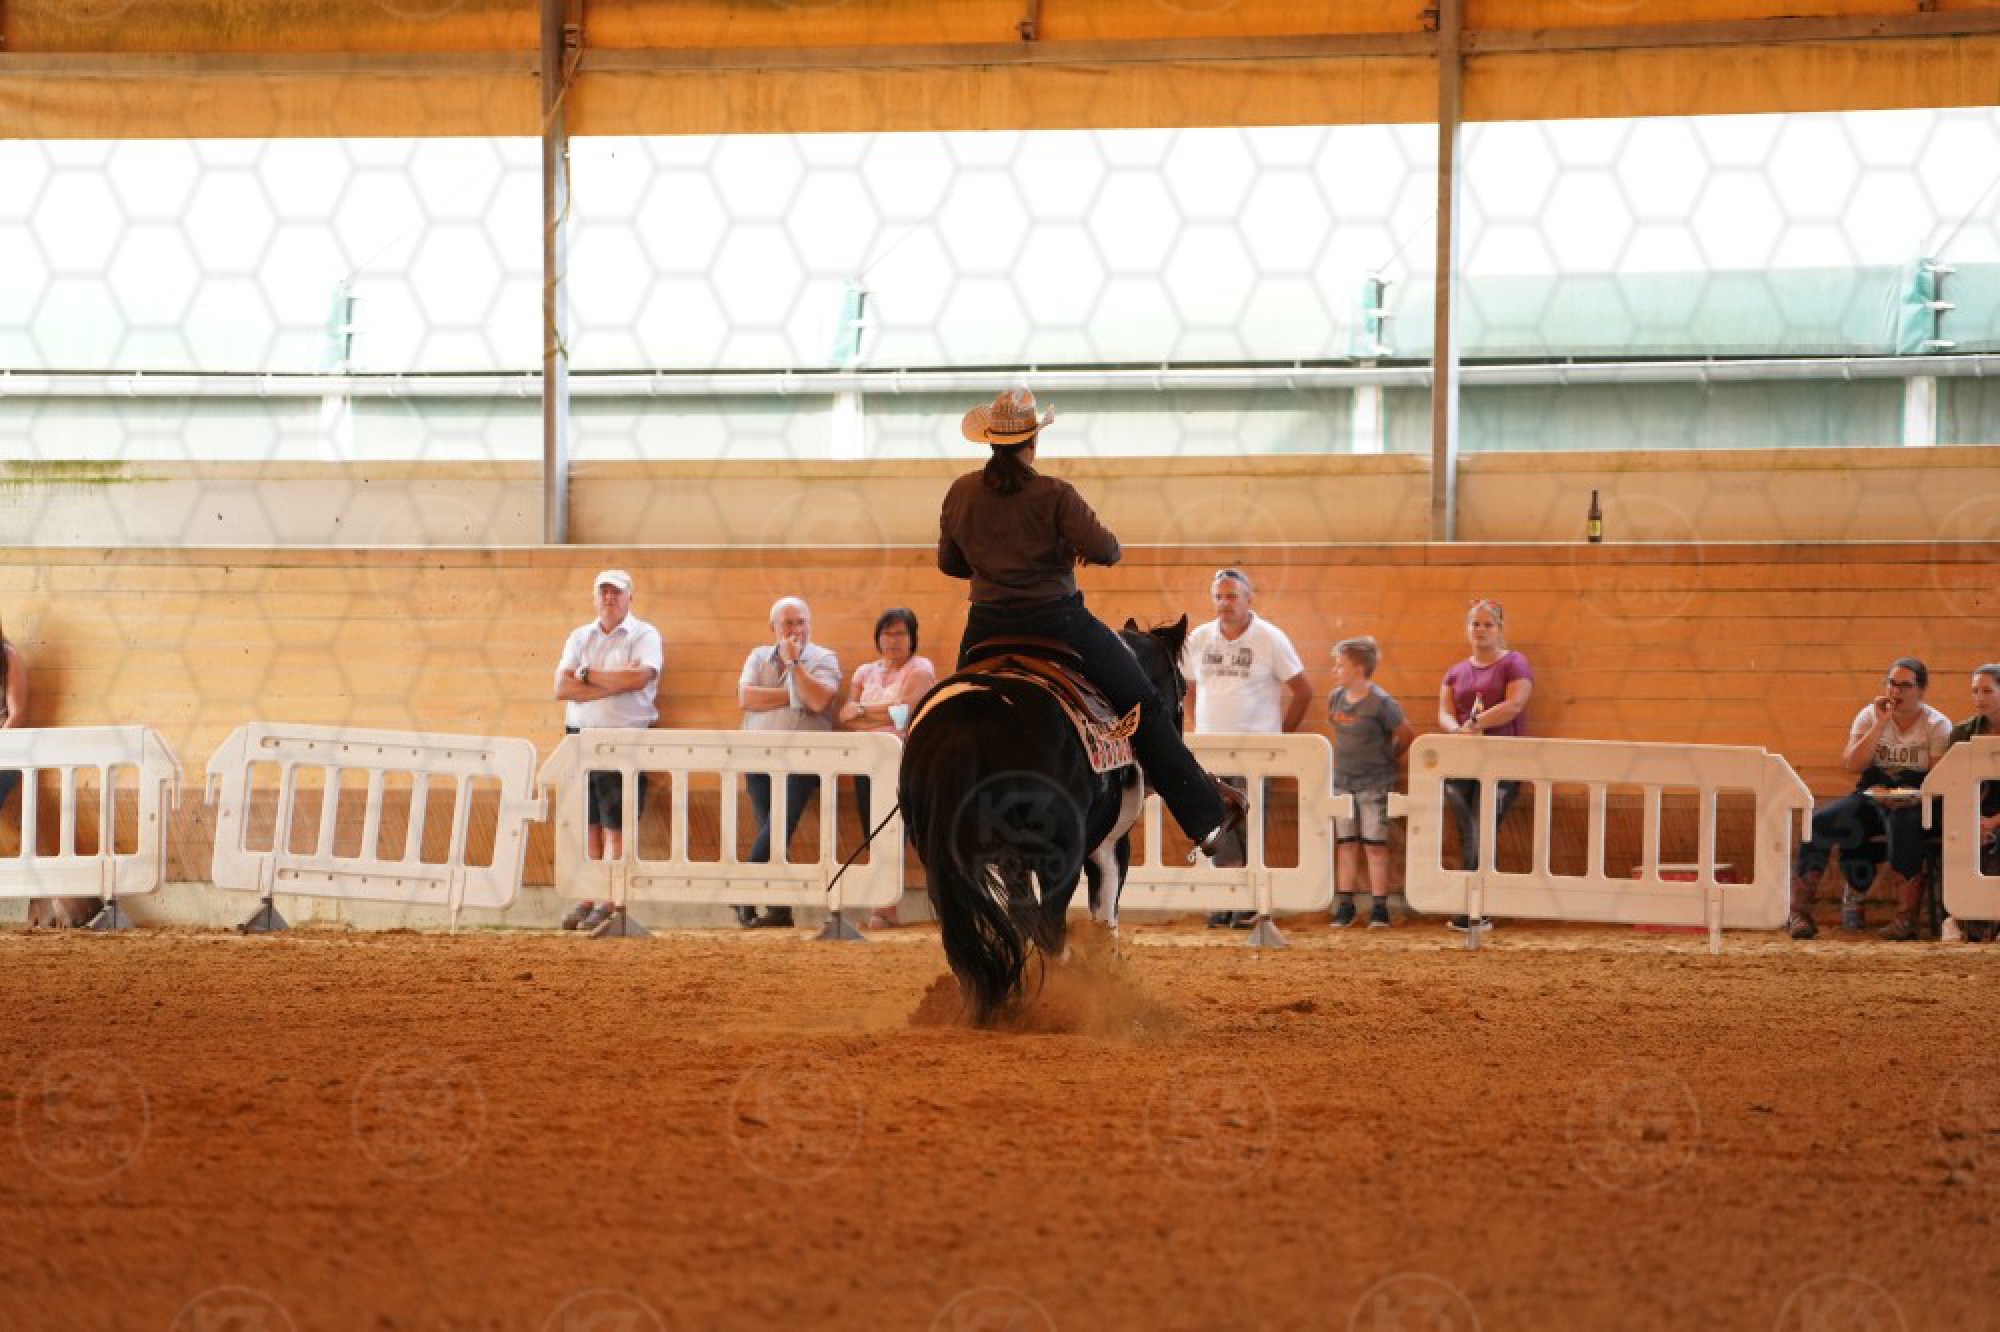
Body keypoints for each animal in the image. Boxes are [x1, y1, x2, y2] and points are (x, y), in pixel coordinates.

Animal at [898, 615, 1190, 1025]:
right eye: (1182, 686)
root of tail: (965, 724)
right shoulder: (1110, 844)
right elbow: (1105, 916)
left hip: (942, 855)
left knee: (974, 927)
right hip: (1059, 856)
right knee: (1048, 925)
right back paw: (1071, 992)